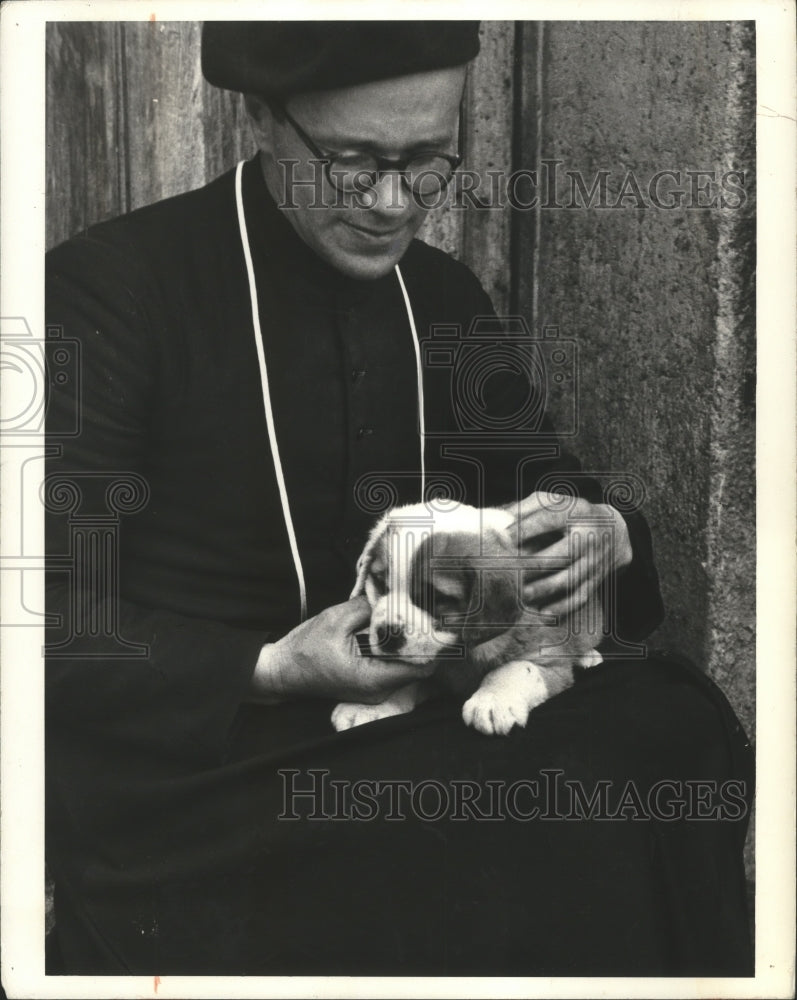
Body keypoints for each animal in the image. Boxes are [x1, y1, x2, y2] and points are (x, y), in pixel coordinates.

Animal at [326, 504, 600, 740]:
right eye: (381, 584)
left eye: (437, 598)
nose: (387, 634)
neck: (460, 650)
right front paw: (369, 707)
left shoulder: (549, 659)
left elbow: (517, 668)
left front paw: (494, 701)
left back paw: (588, 656)